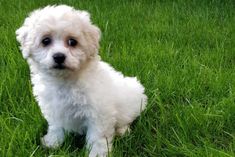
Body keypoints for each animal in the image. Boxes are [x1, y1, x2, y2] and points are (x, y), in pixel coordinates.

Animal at [16, 4, 147, 157]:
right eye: (45, 41)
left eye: (72, 42)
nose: (59, 56)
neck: (65, 81)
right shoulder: (55, 109)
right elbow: (56, 127)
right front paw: (52, 142)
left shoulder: (98, 113)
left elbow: (98, 137)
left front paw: (97, 153)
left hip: (132, 102)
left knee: (128, 118)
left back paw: (122, 131)